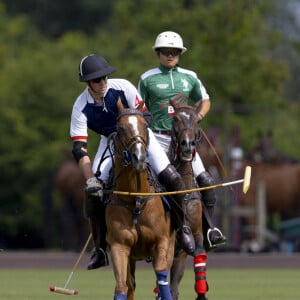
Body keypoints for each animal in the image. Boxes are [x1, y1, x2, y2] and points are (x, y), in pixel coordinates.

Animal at [106, 101, 175, 300]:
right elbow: (121, 287)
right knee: (130, 285)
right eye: (120, 128)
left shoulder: (162, 241)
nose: (139, 156)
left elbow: (162, 278)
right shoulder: (119, 245)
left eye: (145, 125)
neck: (136, 198)